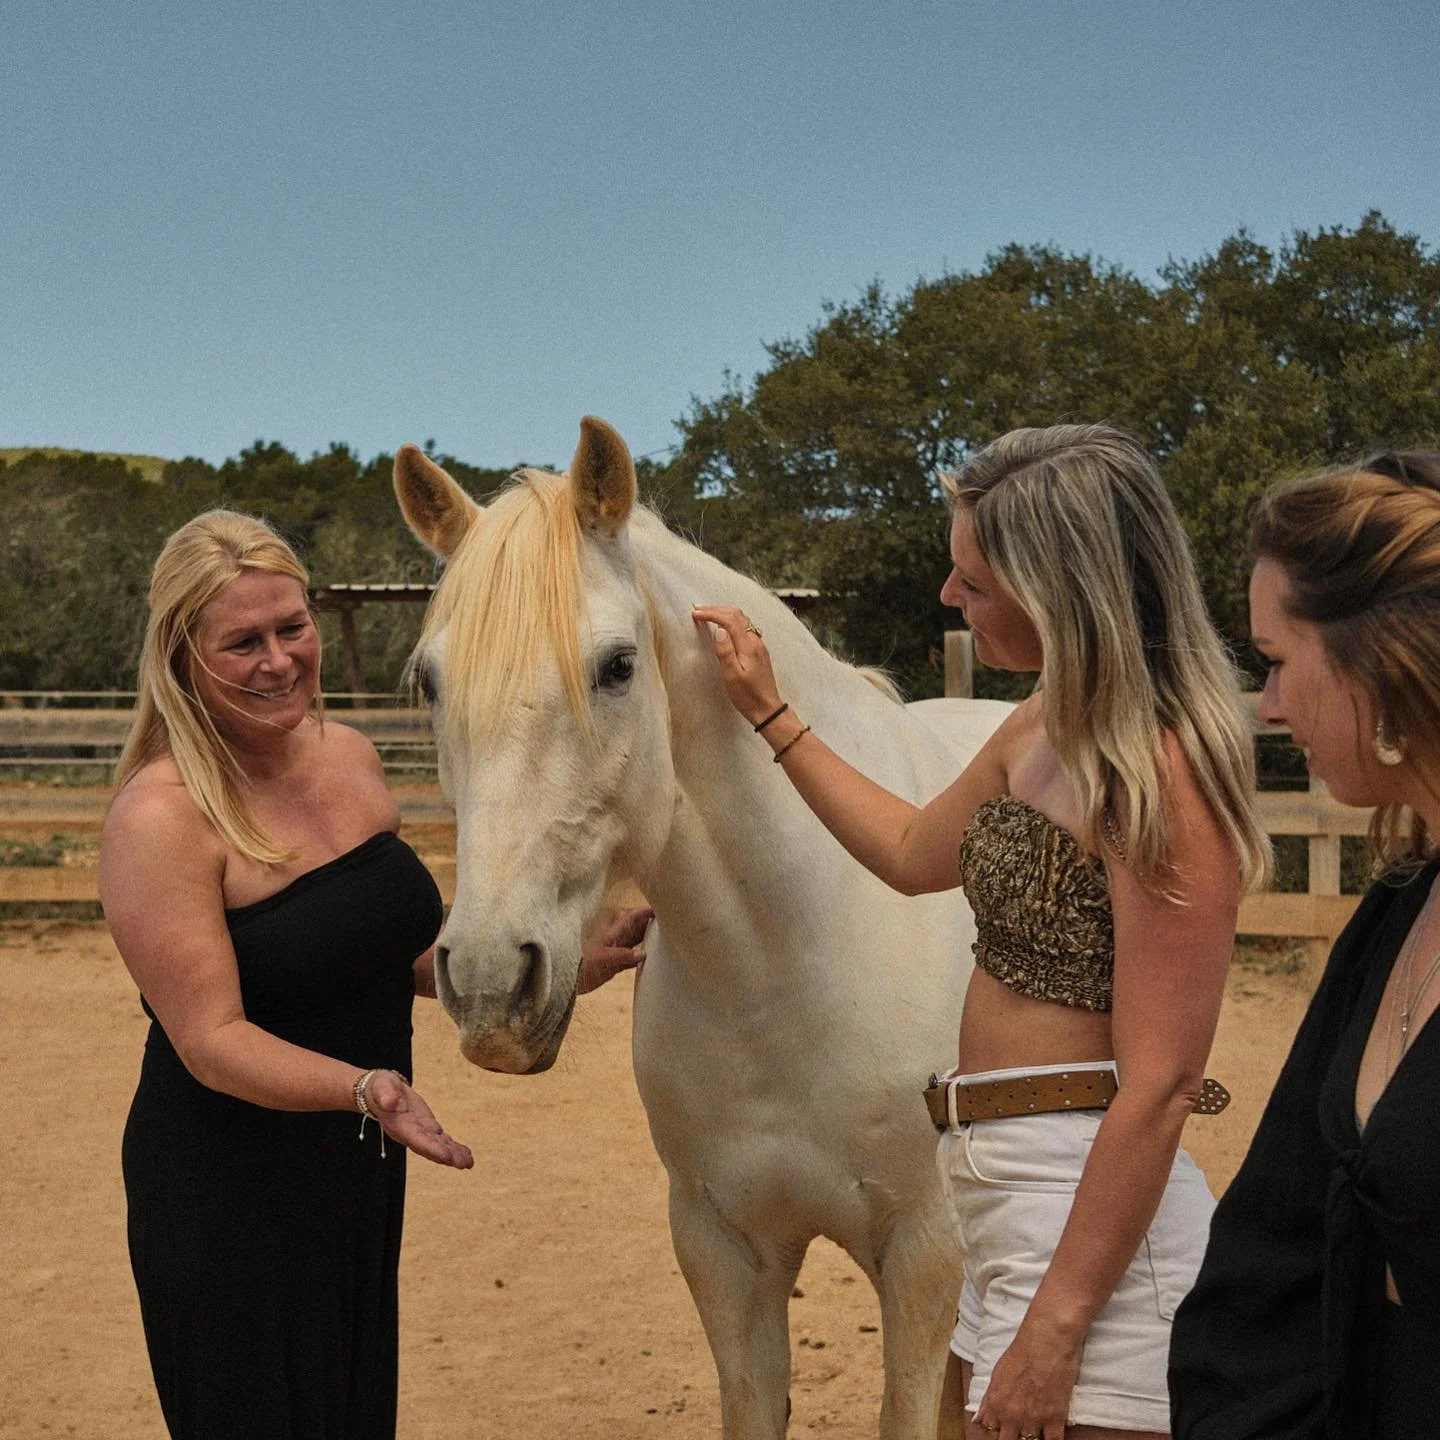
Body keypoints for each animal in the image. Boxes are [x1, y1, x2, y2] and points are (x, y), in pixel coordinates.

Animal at [393, 417, 1010, 1439]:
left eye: (616, 665)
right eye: (432, 682)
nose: (488, 982)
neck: (785, 964)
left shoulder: (928, 1255)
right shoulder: (724, 1251)